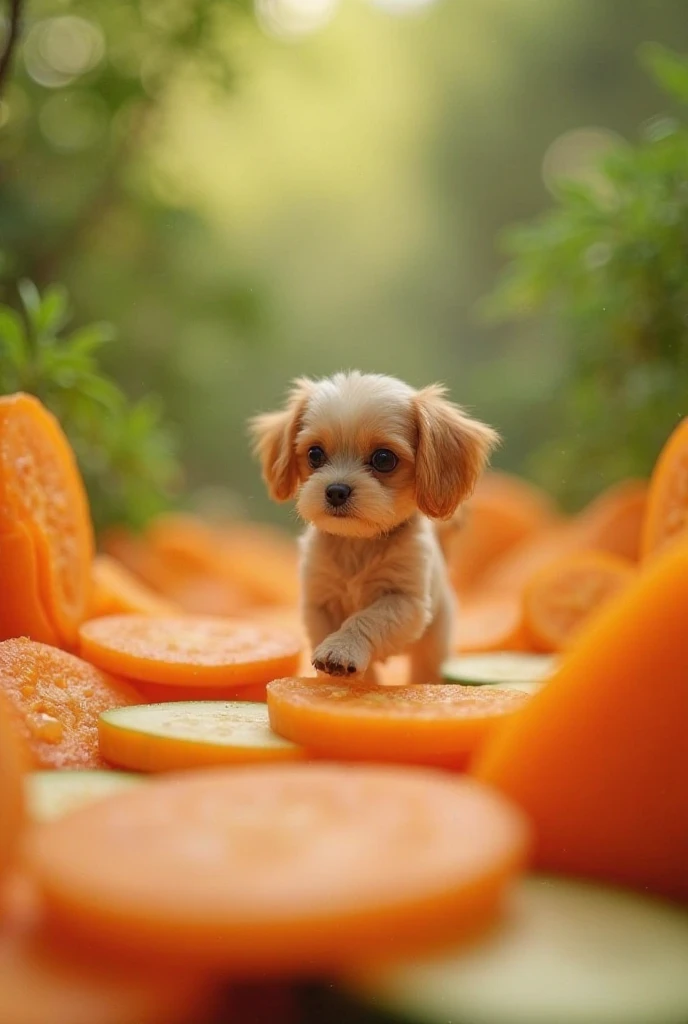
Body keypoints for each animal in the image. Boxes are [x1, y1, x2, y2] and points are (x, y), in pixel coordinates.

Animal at [249, 372, 497, 684]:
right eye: (315, 454)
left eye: (384, 459)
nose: (336, 491)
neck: (358, 544)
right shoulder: (319, 603)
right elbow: (332, 635)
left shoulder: (405, 602)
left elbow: (364, 619)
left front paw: (342, 649)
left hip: (435, 642)